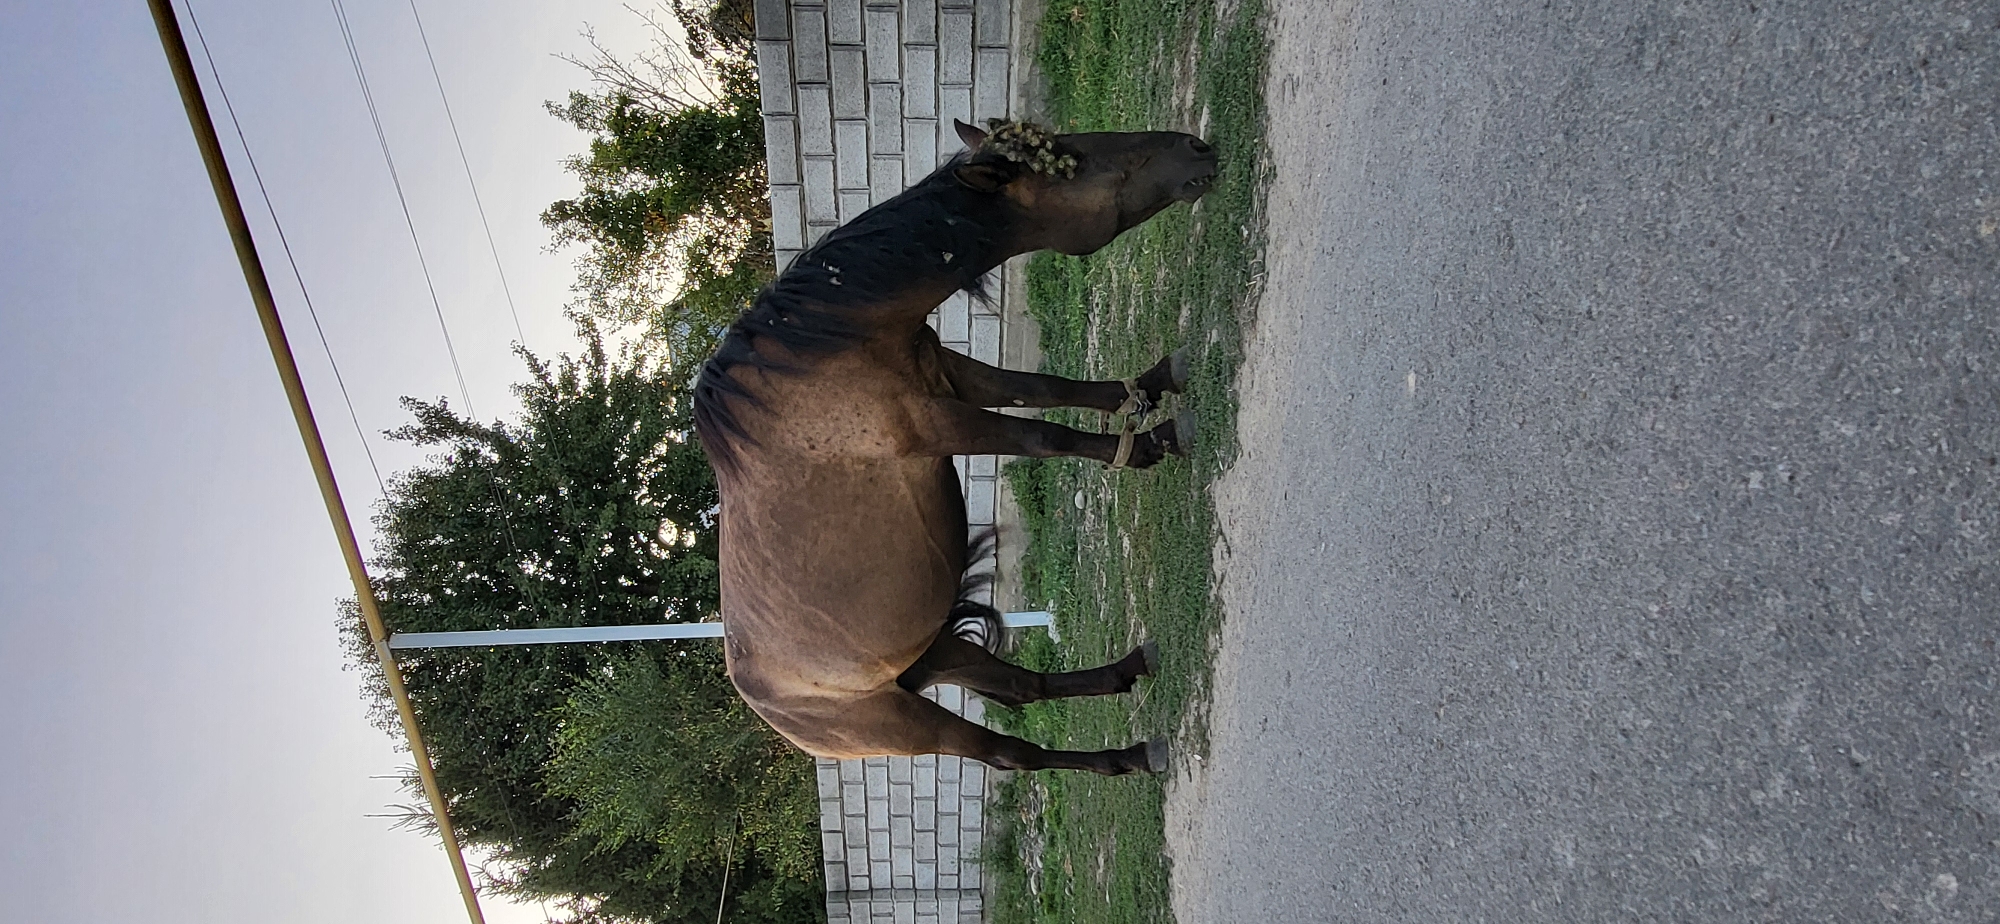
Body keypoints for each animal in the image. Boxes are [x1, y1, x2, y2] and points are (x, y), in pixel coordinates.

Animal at [694, 119, 1217, 775]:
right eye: (1072, 160)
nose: (1196, 149)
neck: (827, 345)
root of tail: (776, 714)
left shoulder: (951, 374)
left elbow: (1046, 389)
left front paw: (1152, 385)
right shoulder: (934, 423)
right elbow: (1043, 435)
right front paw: (1151, 442)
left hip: (938, 651)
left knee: (1025, 688)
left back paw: (1131, 678)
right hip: (915, 723)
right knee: (1012, 753)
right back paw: (1127, 757)